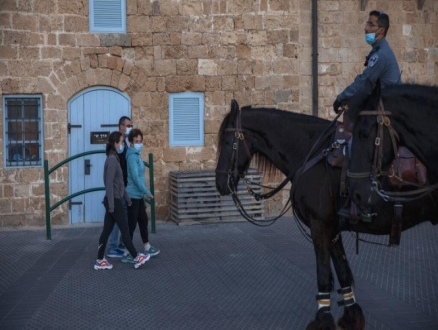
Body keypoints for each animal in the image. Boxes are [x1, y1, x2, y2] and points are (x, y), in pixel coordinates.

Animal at [216, 99, 438, 330]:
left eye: (227, 141)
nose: (220, 182)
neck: (312, 153)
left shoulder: (319, 226)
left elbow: (323, 275)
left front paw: (322, 320)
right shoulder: (333, 230)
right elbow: (344, 273)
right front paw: (351, 317)